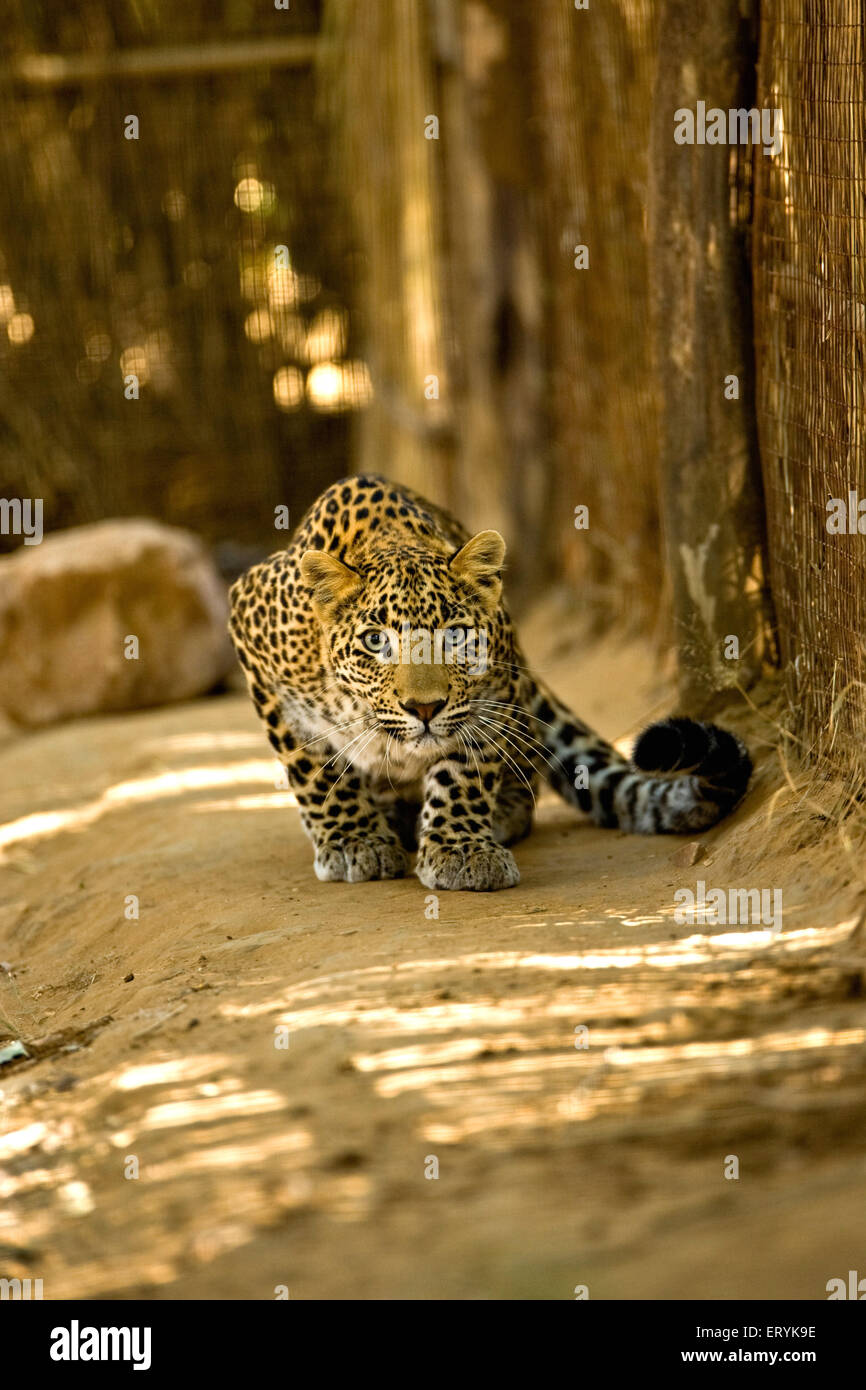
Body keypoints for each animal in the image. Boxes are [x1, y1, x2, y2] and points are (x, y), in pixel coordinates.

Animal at [230, 475, 750, 889]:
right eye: (376, 641)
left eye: (456, 635)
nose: (425, 708)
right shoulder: (251, 632)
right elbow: (314, 769)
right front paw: (354, 841)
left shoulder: (492, 694)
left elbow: (463, 772)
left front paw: (460, 850)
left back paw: (496, 813)